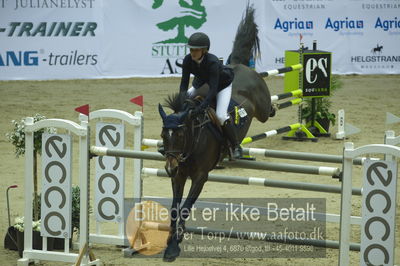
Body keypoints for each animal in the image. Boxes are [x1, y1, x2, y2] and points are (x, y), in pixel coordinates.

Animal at [156, 4, 272, 262]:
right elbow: (175, 208)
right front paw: (169, 242)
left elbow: (186, 208)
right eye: (163, 136)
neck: (192, 141)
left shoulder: (200, 176)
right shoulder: (179, 175)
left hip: (261, 106)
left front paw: (175, 244)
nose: (169, 167)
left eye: (179, 135)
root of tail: (238, 65)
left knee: (268, 111)